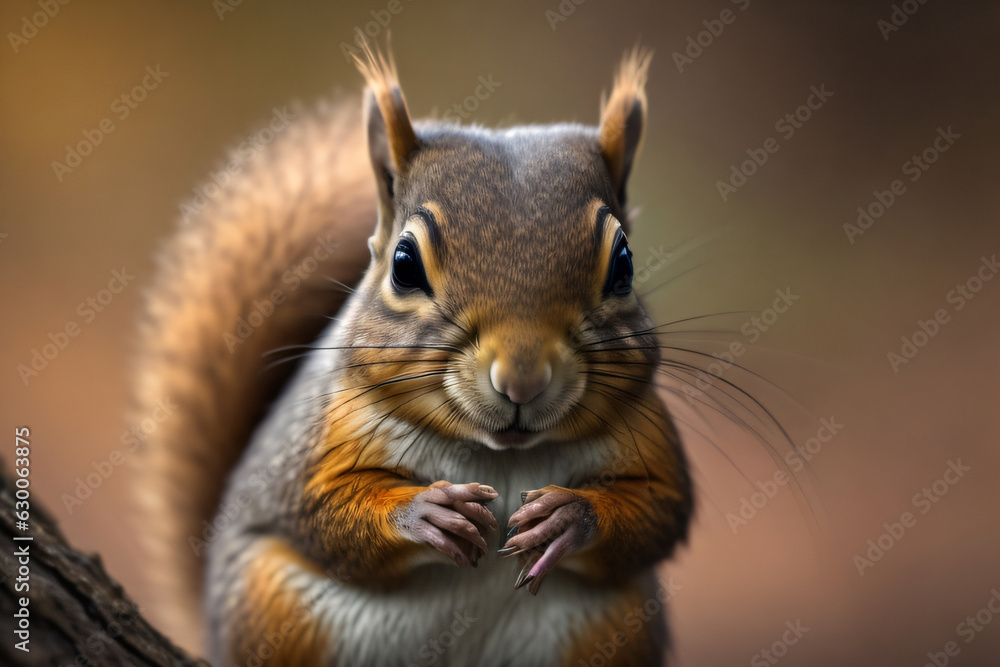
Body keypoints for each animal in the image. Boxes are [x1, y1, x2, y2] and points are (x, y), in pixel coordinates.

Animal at [131, 44, 693, 666]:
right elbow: (320, 511)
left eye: (624, 265)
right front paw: (425, 512)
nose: (522, 381)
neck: (499, 455)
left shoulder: (648, 431)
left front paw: (567, 518)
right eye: (403, 265)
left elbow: (662, 510)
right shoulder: (312, 443)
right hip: (272, 605)